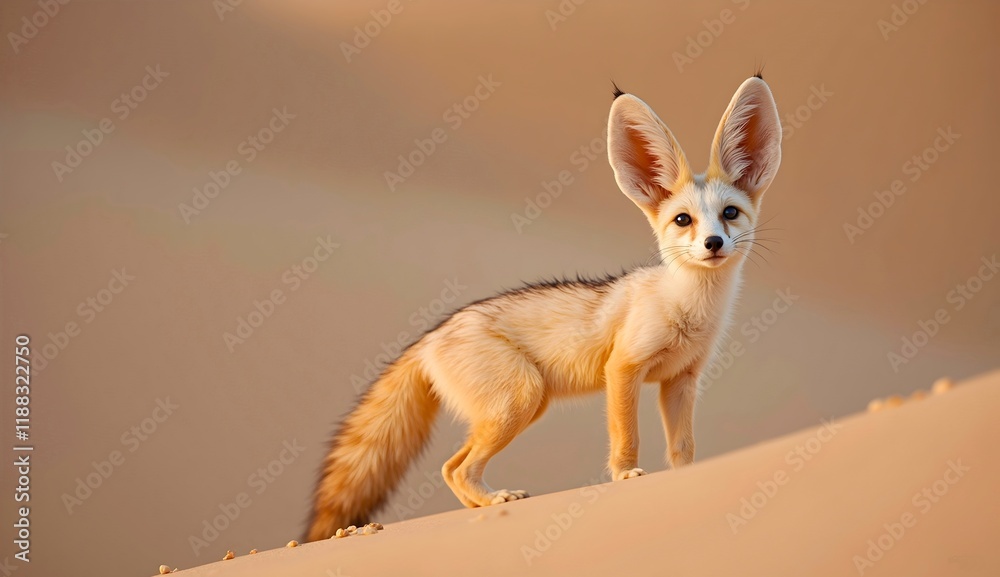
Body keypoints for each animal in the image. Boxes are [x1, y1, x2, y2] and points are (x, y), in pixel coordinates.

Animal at [305, 74, 782, 541]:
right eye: (683, 220)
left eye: (730, 214)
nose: (713, 243)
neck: (689, 308)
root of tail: (431, 335)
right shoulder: (623, 368)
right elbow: (626, 436)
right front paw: (626, 477)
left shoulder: (680, 380)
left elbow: (683, 449)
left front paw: (687, 480)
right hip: (520, 399)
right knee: (457, 468)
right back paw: (495, 501)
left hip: (520, 407)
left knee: (449, 467)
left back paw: (485, 504)